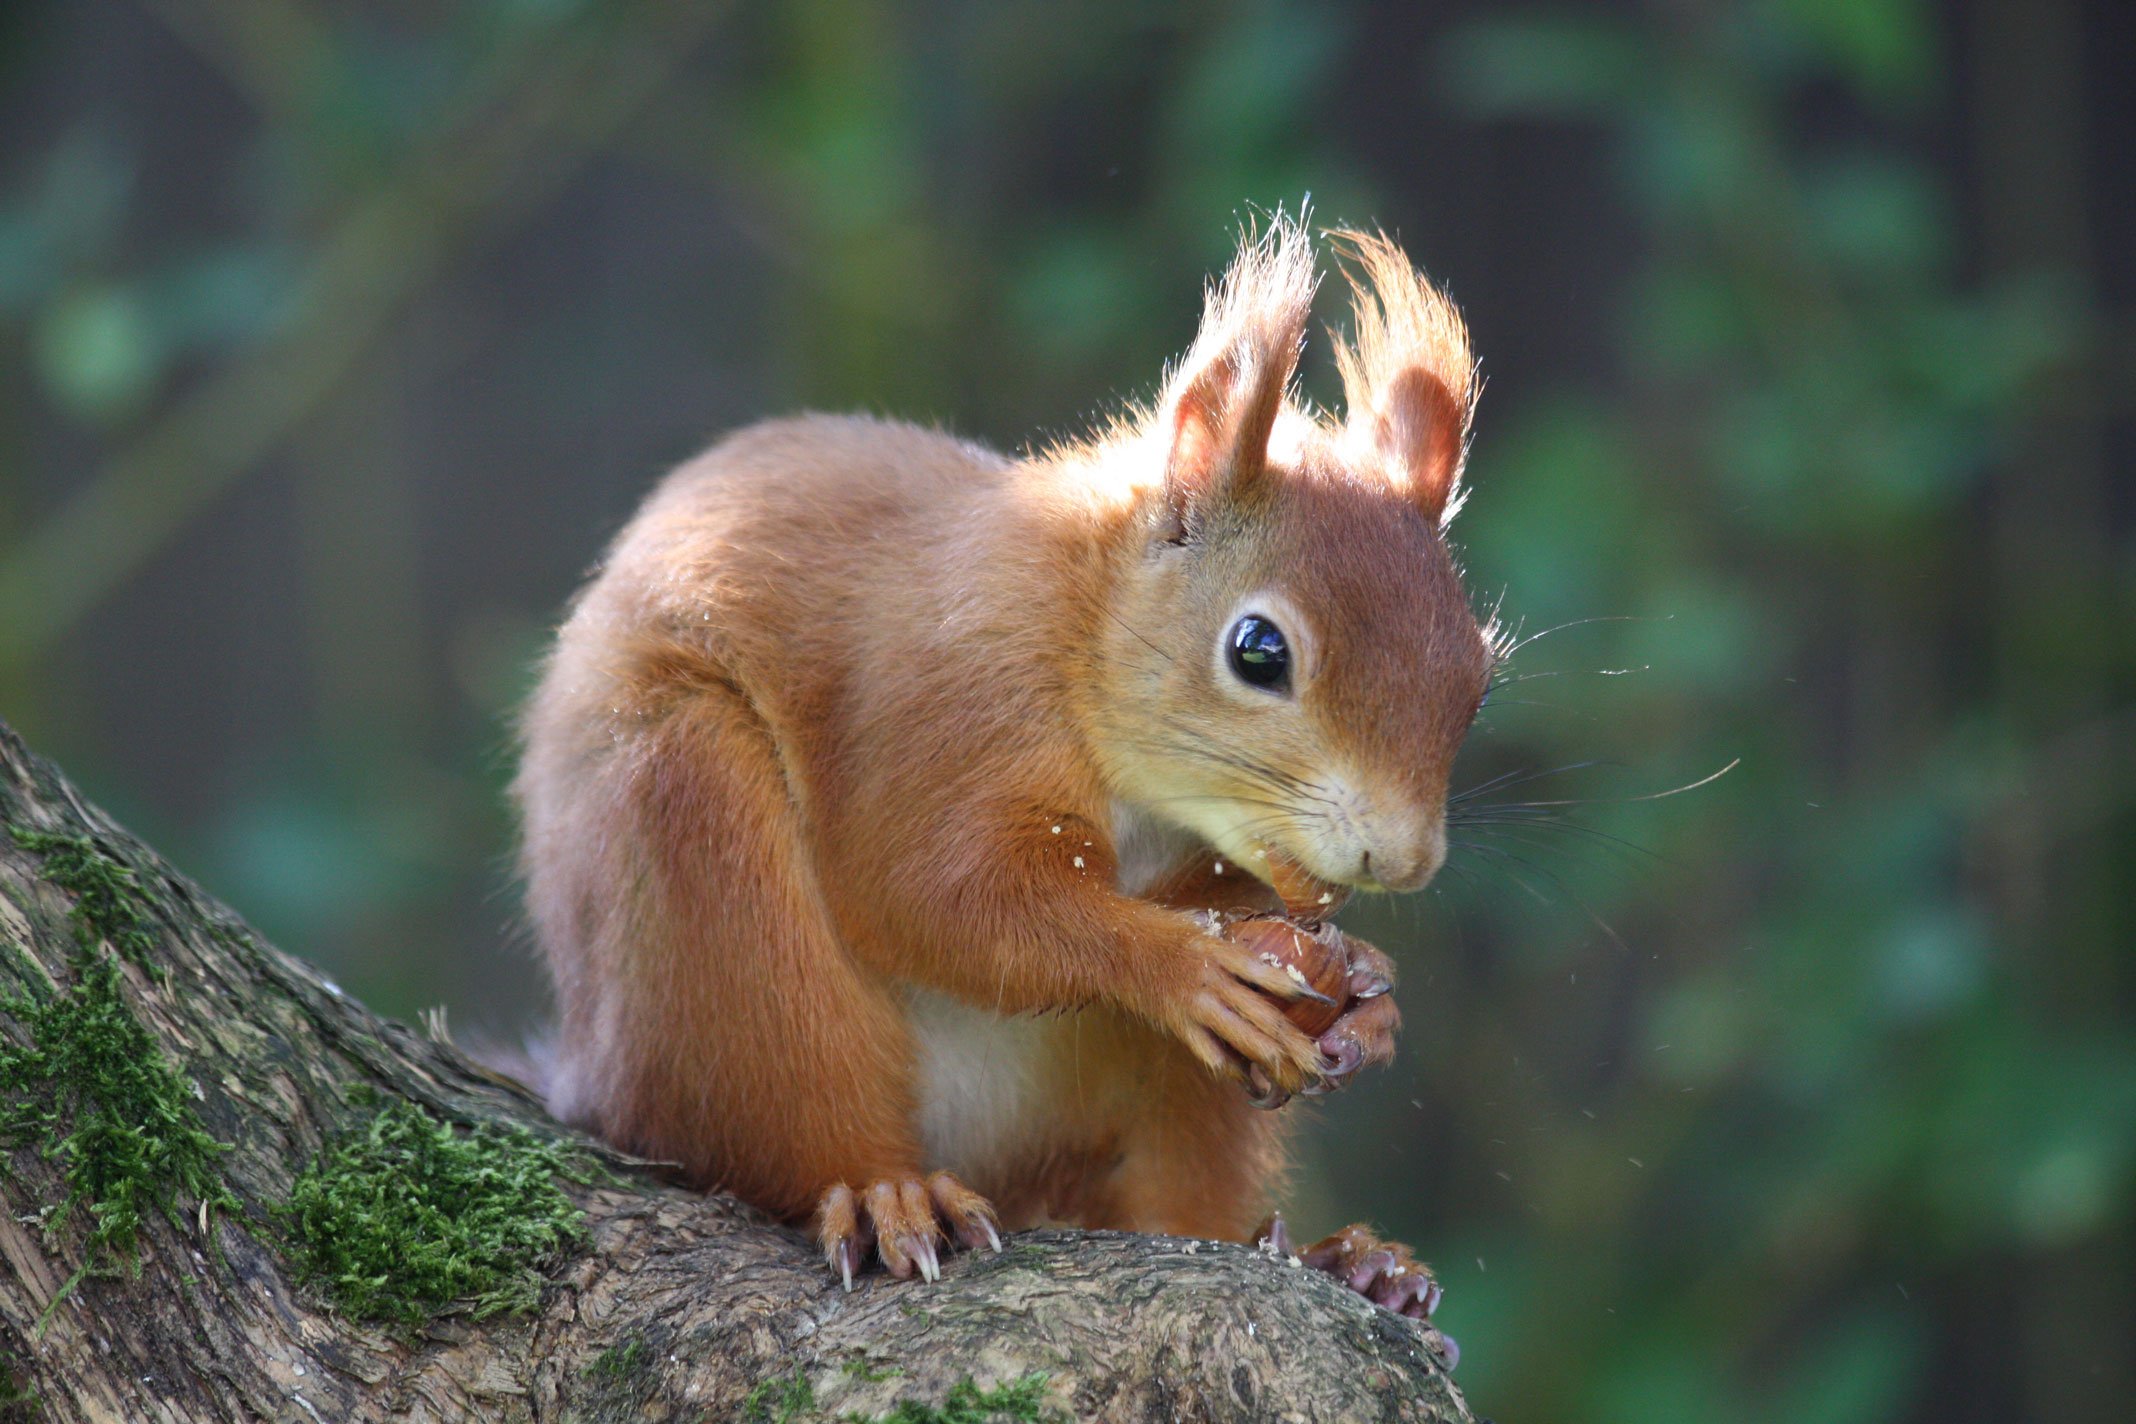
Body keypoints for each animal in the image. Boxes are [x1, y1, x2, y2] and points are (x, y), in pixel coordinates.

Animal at [512, 217, 1493, 1336]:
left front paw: (1368, 993)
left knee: (1174, 1194)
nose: (1404, 860)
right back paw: (886, 1191)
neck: (1079, 612)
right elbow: (937, 893)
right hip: (695, 865)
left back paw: (1342, 1261)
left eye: (1479, 678)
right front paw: (1180, 966)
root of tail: (587, 1069)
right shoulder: (952, 701)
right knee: (789, 1100)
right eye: (1258, 651)